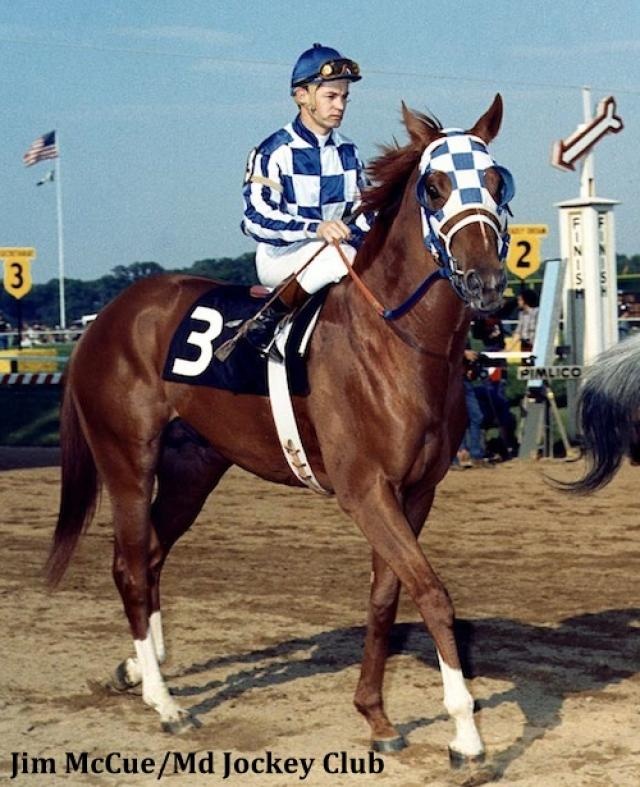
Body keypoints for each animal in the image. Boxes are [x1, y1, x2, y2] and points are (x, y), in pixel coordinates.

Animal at [47, 95, 512, 768]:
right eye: (434, 185)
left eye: (498, 181)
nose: (485, 281)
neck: (396, 340)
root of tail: (104, 320)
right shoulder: (364, 490)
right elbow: (431, 592)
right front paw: (465, 734)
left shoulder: (416, 490)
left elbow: (386, 597)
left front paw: (376, 716)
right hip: (127, 459)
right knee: (130, 564)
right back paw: (165, 704)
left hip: (193, 467)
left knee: (154, 554)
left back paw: (140, 666)